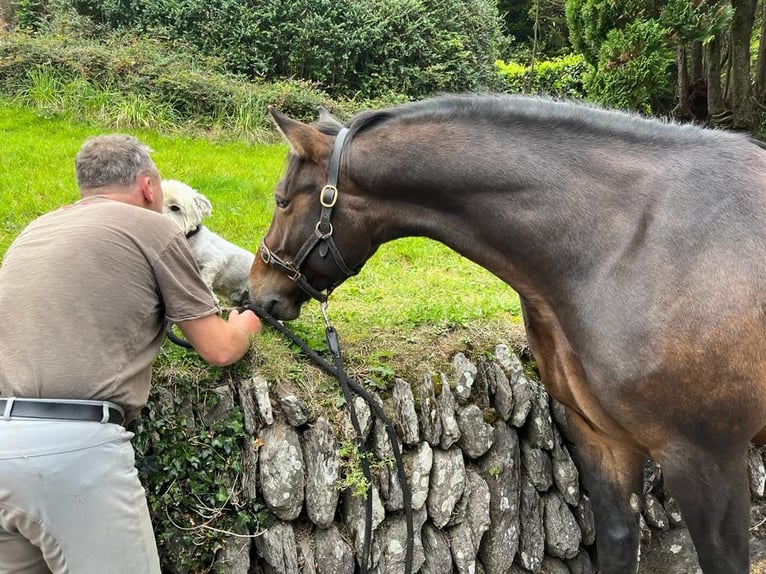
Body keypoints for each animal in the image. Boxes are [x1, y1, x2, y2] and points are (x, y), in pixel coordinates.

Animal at [249, 92, 766, 572]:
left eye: (280, 199)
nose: (256, 293)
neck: (622, 245)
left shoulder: (706, 464)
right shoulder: (603, 441)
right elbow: (619, 544)